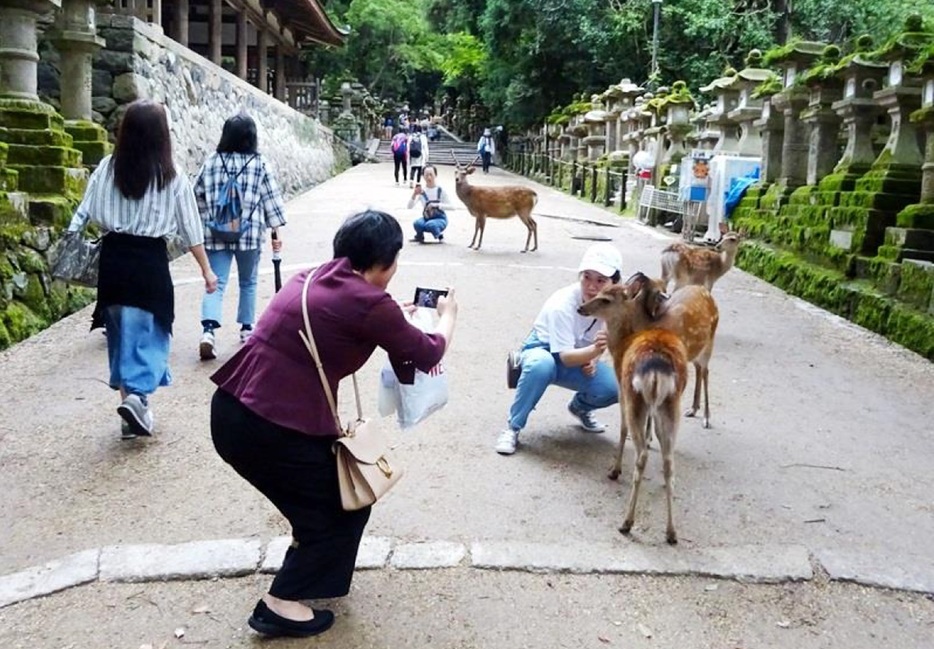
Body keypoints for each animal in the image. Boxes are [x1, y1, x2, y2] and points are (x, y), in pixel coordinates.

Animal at [576, 286, 688, 544]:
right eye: (600, 291)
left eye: (606, 299)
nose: (581, 308)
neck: (622, 343)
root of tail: (656, 371)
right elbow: (649, 431)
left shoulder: (621, 389)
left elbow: (622, 428)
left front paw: (615, 469)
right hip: (671, 405)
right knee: (669, 460)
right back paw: (671, 532)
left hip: (634, 395)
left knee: (641, 455)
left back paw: (626, 522)